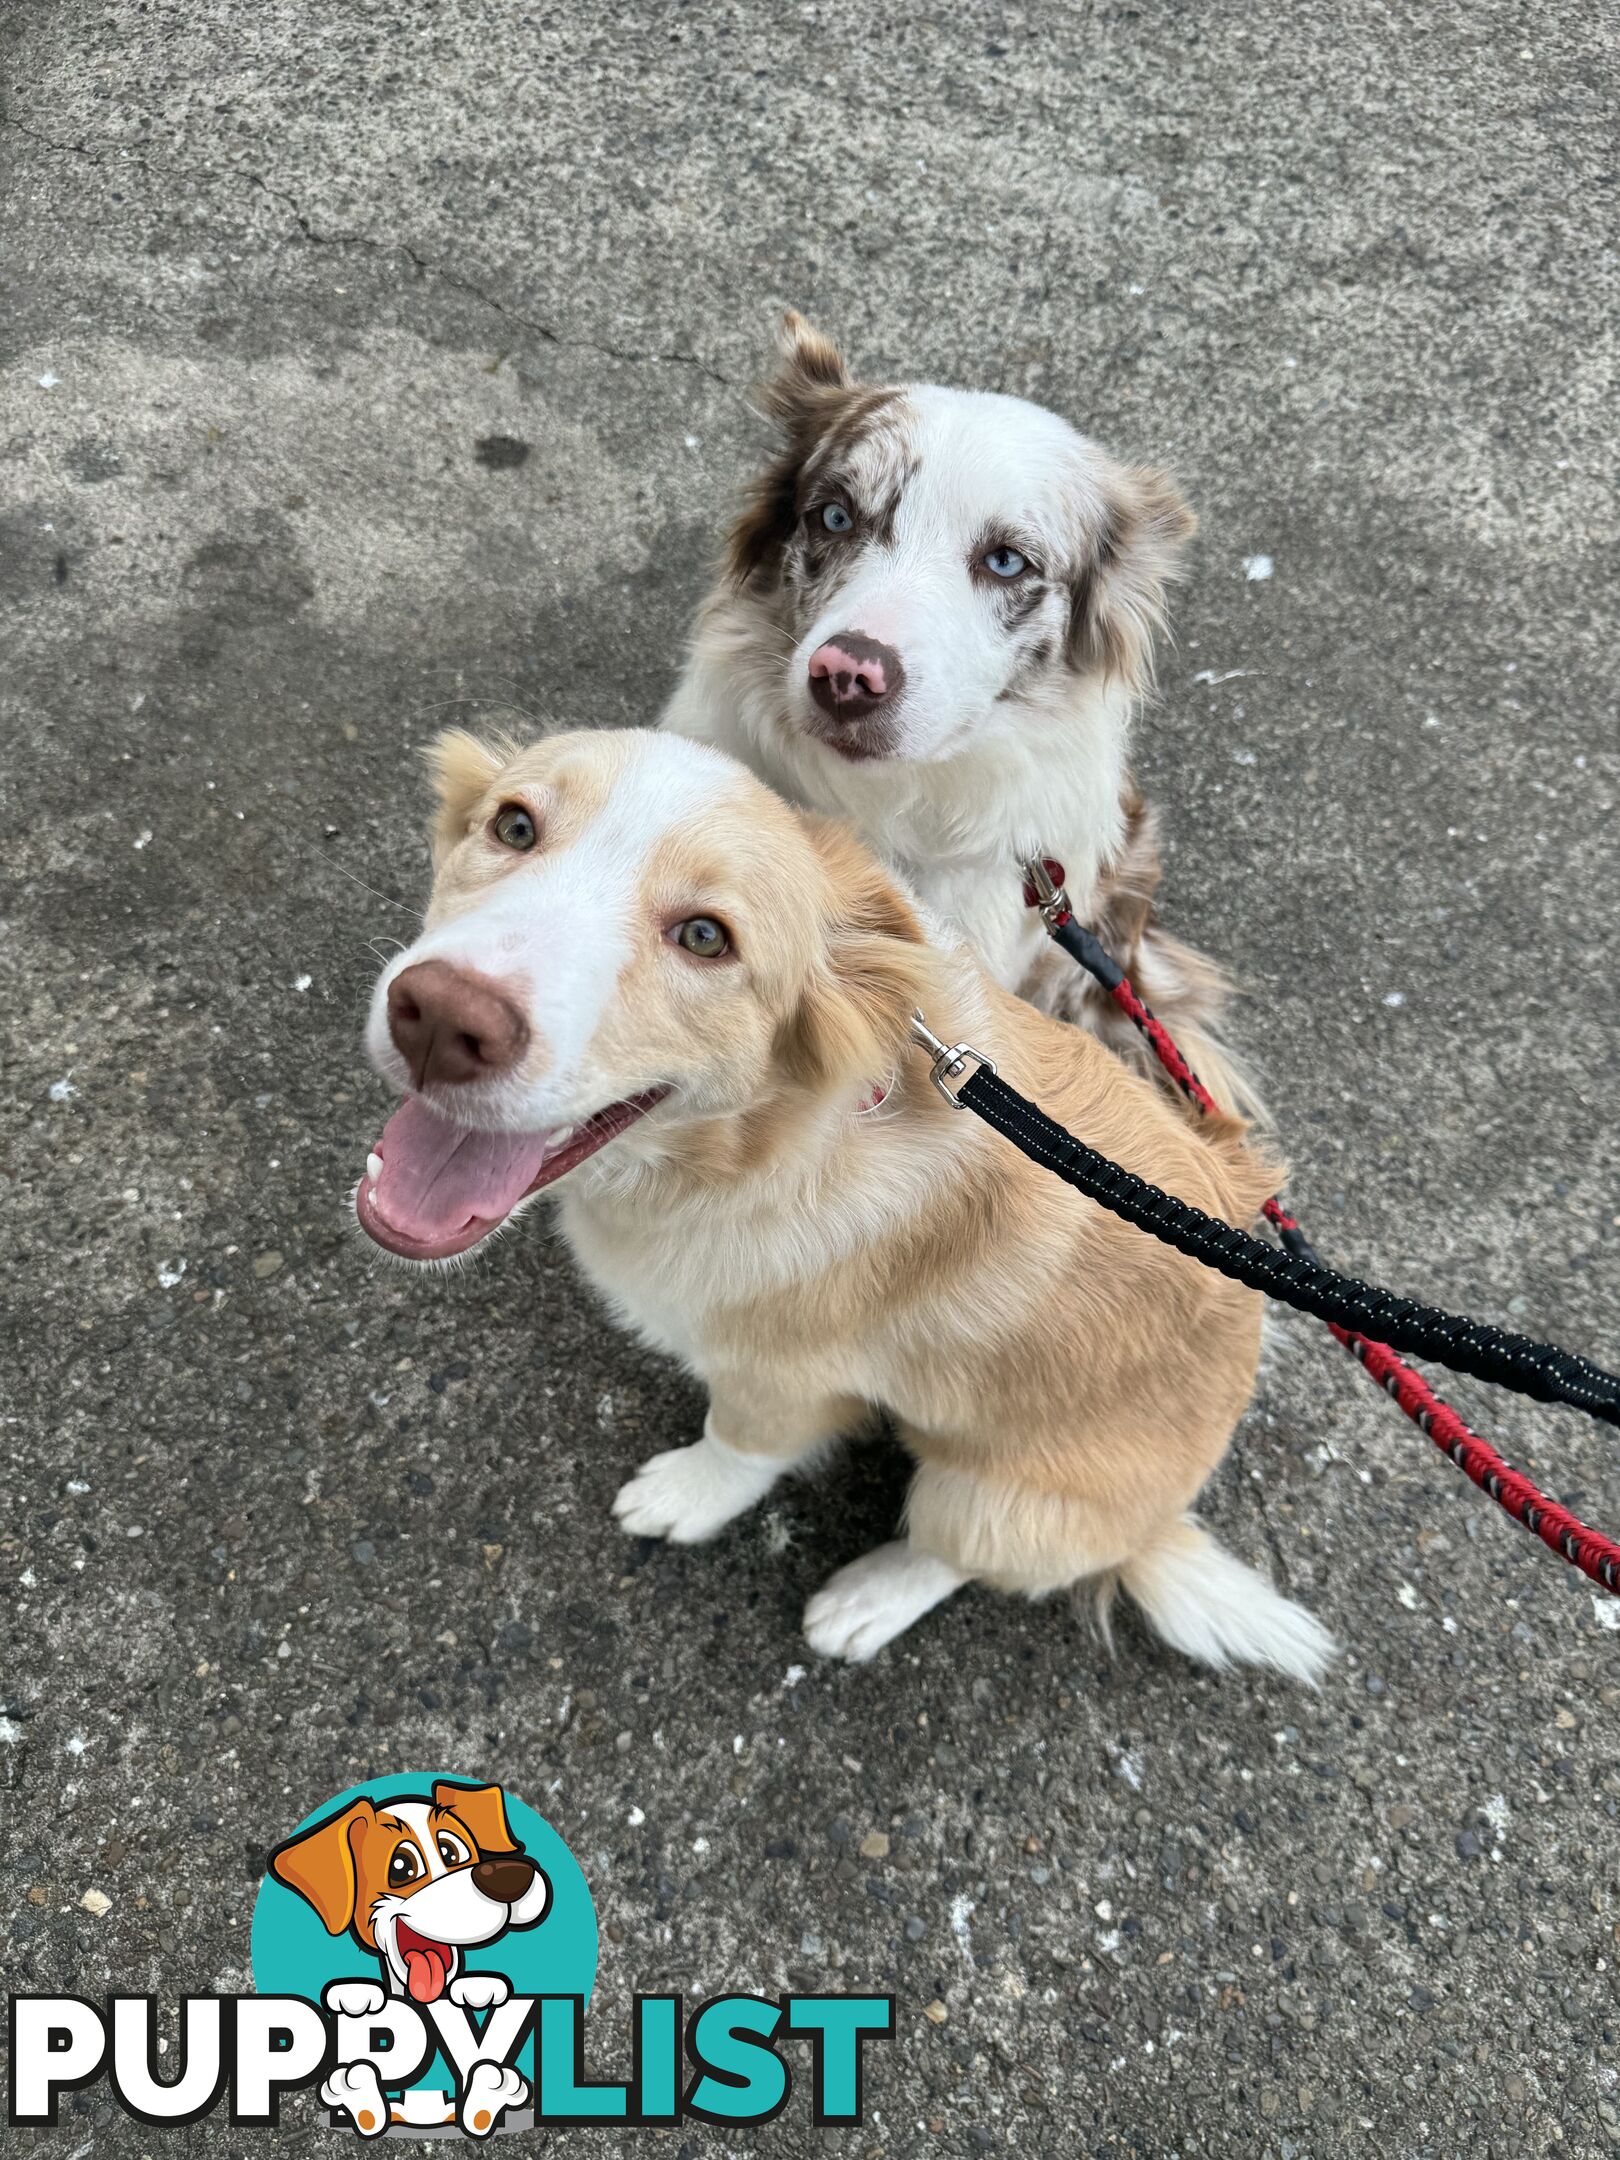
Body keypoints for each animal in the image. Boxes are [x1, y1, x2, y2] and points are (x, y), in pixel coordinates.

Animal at [354, 734, 1330, 1676]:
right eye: (514, 827)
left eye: (705, 937)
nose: (440, 1019)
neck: (762, 1151)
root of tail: (1157, 1526)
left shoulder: (788, 1375)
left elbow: (739, 1447)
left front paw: (685, 1496)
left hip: (996, 1493)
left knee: (957, 1554)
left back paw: (868, 1599)